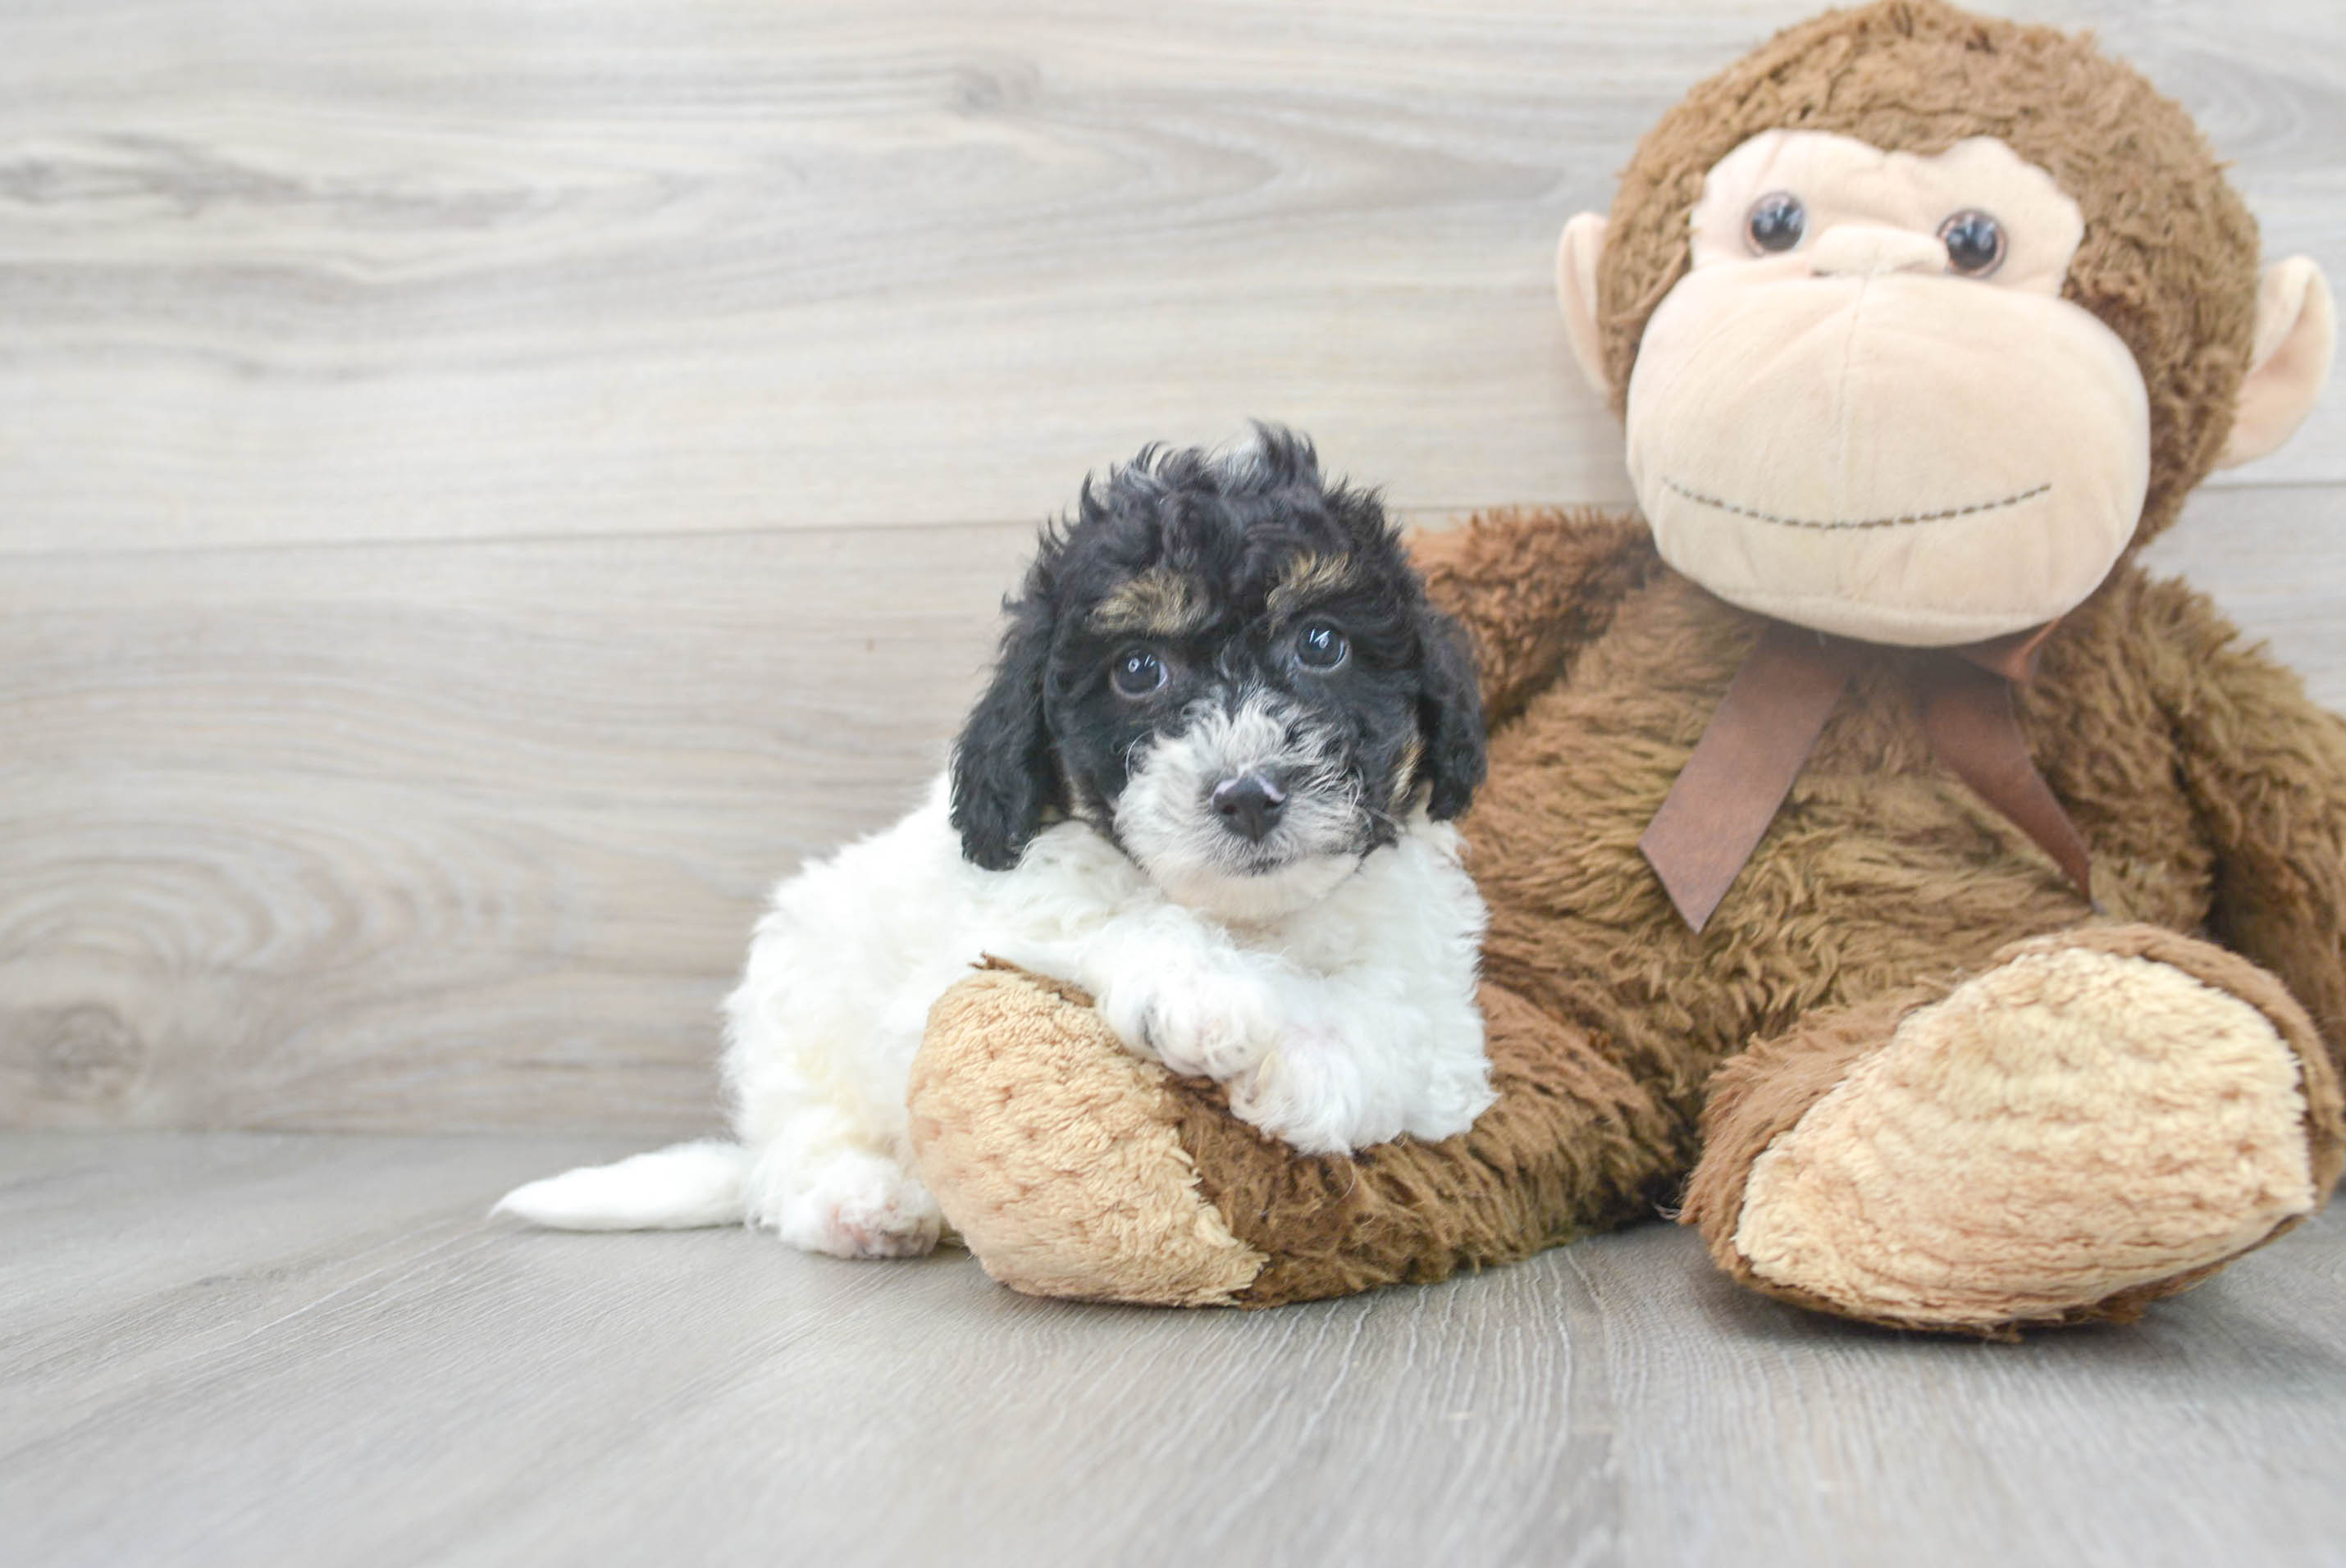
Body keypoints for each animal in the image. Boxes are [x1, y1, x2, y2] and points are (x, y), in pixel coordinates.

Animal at [502, 431, 1491, 1256]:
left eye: (1323, 644)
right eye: (1137, 670)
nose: (1246, 796)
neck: (1254, 921)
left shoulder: (1446, 1019)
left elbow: (1401, 1018)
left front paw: (1312, 1066)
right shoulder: (993, 930)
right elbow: (1113, 922)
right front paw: (1204, 996)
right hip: (793, 1008)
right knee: (794, 1151)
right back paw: (859, 1204)